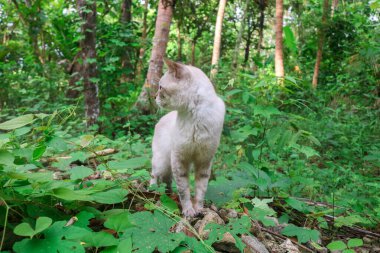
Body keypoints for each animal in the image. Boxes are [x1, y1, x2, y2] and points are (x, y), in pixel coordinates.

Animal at [149, 58, 226, 216]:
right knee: (154, 175)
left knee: (167, 180)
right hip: (161, 162)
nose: (154, 97)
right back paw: (152, 191)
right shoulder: (180, 158)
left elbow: (200, 190)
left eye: (160, 87)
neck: (195, 115)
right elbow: (184, 190)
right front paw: (188, 211)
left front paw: (199, 209)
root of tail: (160, 120)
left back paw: (168, 193)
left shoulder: (204, 160)